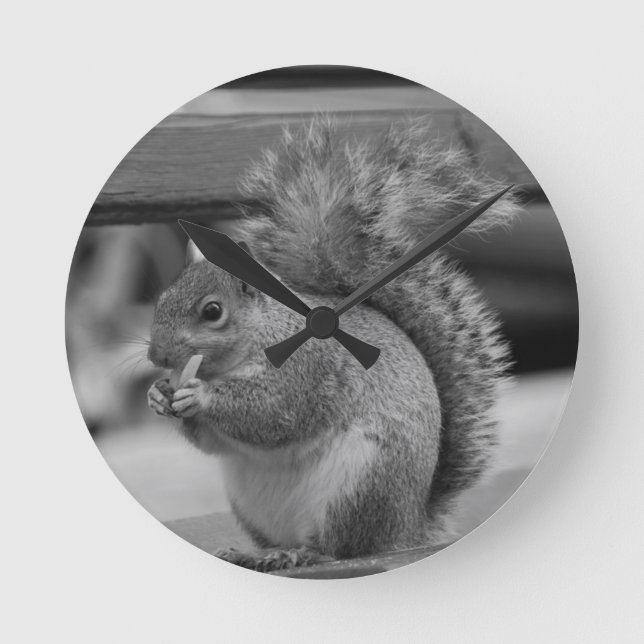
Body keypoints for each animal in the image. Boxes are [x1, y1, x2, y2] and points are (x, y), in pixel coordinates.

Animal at [147, 117, 520, 572]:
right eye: (162, 298)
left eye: (212, 311)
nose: (157, 355)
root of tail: (408, 528)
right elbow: (214, 442)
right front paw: (158, 394)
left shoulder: (307, 370)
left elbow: (273, 414)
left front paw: (199, 394)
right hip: (251, 501)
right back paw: (254, 553)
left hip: (360, 484)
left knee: (340, 548)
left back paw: (302, 553)